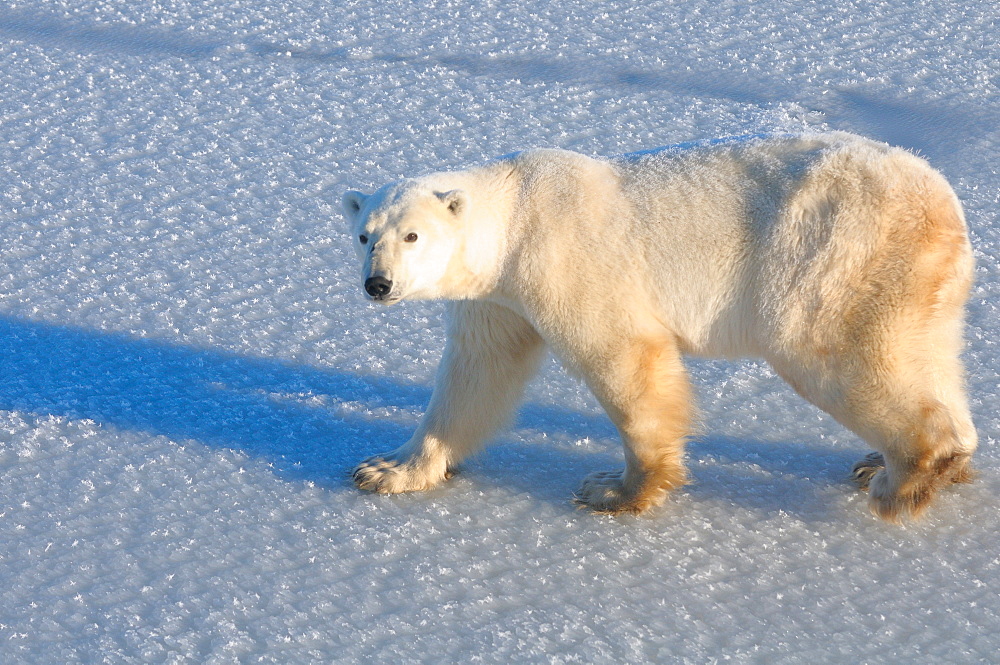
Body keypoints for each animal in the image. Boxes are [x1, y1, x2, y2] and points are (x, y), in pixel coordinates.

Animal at [344, 132, 976, 520]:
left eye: (412, 235)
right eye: (364, 234)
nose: (378, 285)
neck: (514, 216)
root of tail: (940, 199)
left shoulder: (562, 262)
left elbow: (624, 358)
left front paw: (615, 488)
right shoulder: (499, 300)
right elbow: (476, 374)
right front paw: (388, 469)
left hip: (831, 256)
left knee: (831, 351)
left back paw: (903, 478)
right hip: (914, 279)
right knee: (927, 353)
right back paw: (902, 459)